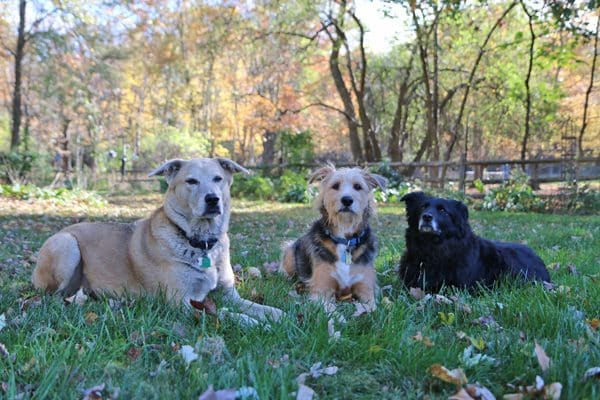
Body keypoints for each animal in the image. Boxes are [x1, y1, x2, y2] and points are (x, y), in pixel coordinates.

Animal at [32, 158, 284, 324]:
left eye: (218, 179)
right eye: (191, 181)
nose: (213, 199)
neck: (199, 241)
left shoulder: (229, 294)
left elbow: (259, 307)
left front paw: (277, 314)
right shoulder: (180, 302)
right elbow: (219, 313)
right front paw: (248, 321)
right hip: (66, 245)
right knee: (54, 296)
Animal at [280, 164, 386, 310]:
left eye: (358, 186)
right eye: (335, 186)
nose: (347, 200)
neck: (345, 240)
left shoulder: (366, 290)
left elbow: (372, 308)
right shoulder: (321, 291)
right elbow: (332, 311)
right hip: (290, 250)